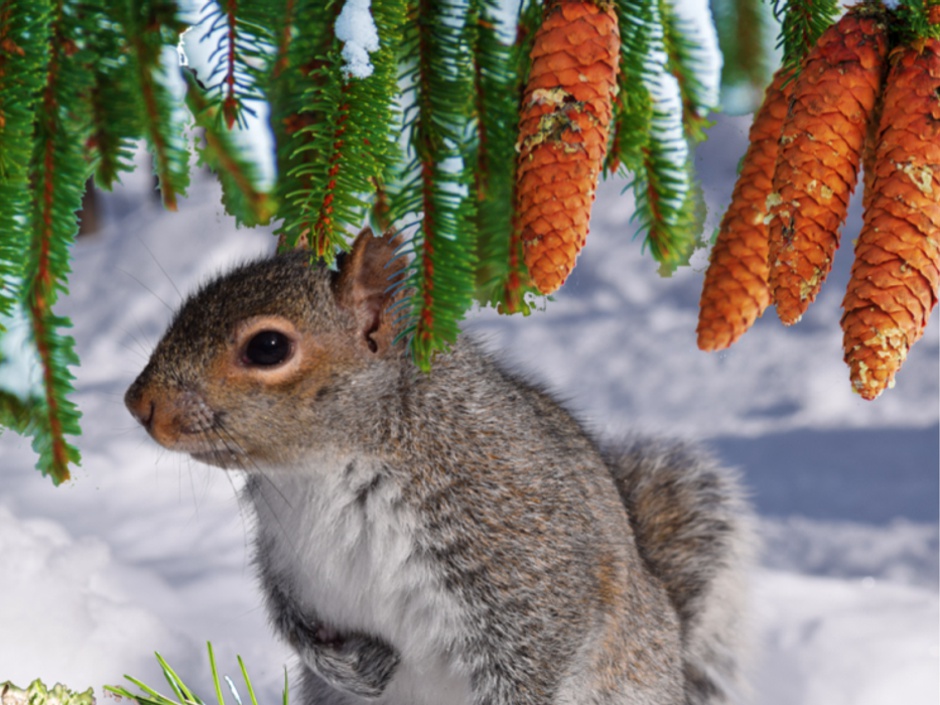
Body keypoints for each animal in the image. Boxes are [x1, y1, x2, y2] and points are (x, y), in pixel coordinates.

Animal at [126, 228, 756, 704]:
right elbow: (291, 621)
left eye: (268, 348)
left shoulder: (527, 555)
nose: (138, 403)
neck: (323, 472)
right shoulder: (285, 557)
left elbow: (540, 650)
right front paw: (352, 665)